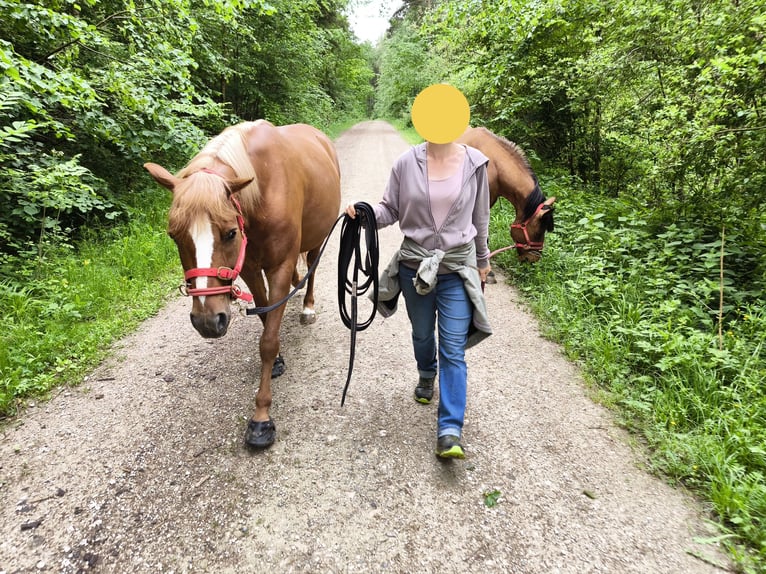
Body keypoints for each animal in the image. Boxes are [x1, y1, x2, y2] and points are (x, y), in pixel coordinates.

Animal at [145, 121, 342, 452]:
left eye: (229, 233)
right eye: (174, 235)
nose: (207, 321)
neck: (262, 192)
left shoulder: (278, 268)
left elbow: (268, 340)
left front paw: (261, 418)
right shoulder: (249, 267)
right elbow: (264, 315)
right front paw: (277, 362)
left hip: (319, 235)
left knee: (312, 268)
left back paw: (307, 307)